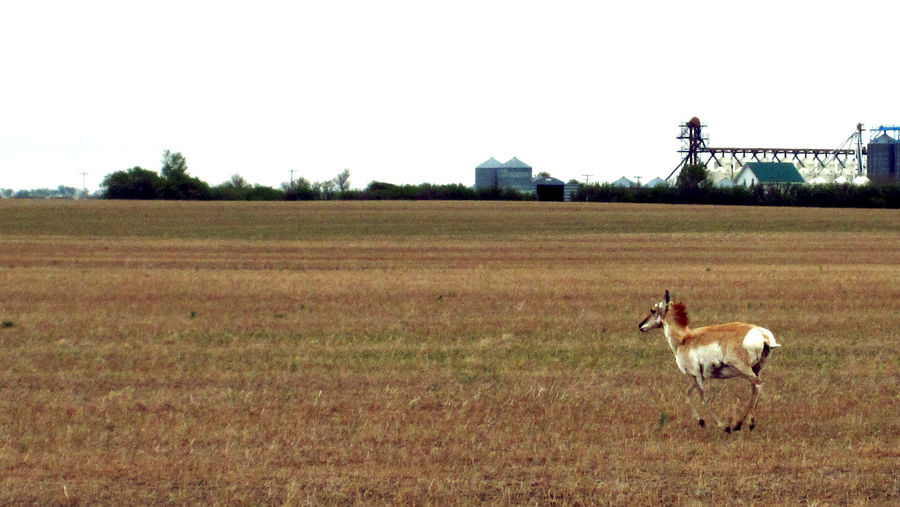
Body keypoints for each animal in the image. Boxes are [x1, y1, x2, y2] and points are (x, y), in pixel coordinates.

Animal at [640, 290, 780, 432]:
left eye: (653, 310)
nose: (640, 326)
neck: (684, 339)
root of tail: (761, 333)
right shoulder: (697, 376)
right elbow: (687, 393)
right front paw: (701, 421)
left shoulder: (696, 375)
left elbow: (703, 398)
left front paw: (723, 426)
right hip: (755, 369)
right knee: (754, 389)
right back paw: (738, 424)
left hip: (744, 369)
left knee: (758, 384)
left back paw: (749, 423)